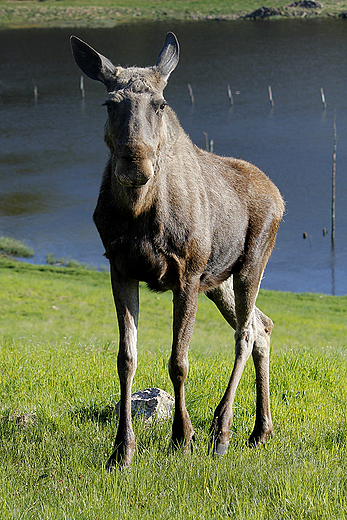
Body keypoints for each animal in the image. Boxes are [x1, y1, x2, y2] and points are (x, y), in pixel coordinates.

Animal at [70, 34, 286, 470]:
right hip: (217, 280)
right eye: (109, 103)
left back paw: (222, 430)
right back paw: (260, 430)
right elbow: (126, 359)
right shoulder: (120, 268)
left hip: (250, 263)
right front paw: (122, 450)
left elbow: (178, 361)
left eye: (160, 104)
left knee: (244, 333)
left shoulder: (187, 273)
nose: (135, 164)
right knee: (262, 325)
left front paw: (181, 437)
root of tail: (280, 196)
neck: (139, 214)